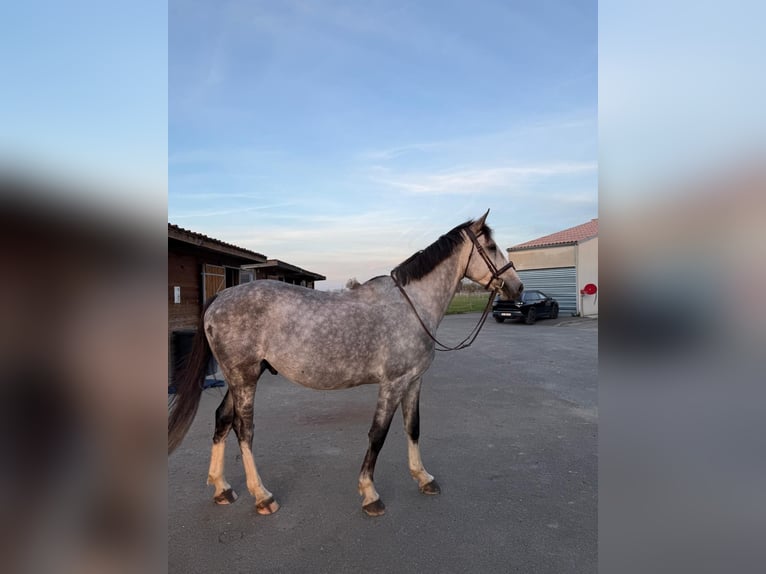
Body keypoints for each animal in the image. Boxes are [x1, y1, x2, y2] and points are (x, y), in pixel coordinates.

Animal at [168, 210, 523, 516]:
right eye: (491, 246)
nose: (517, 287)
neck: (412, 306)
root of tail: (220, 297)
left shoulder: (414, 381)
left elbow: (413, 428)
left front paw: (423, 478)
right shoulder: (392, 384)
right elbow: (378, 434)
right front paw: (370, 494)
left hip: (239, 377)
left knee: (222, 419)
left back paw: (222, 488)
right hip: (244, 379)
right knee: (244, 429)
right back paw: (262, 496)